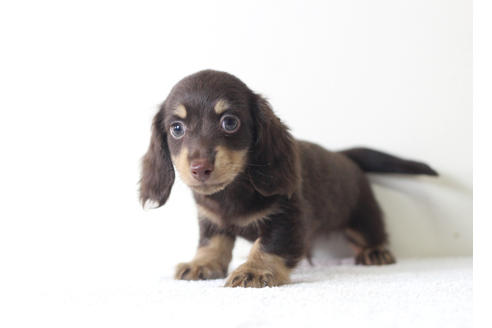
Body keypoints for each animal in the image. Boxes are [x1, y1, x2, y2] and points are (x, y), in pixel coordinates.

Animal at [139, 68, 438, 288]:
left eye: (230, 122)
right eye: (177, 128)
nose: (200, 168)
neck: (233, 192)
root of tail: (343, 155)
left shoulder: (287, 216)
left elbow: (270, 245)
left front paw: (255, 269)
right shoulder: (211, 220)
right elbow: (211, 243)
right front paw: (202, 263)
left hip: (363, 215)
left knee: (371, 233)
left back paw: (375, 251)